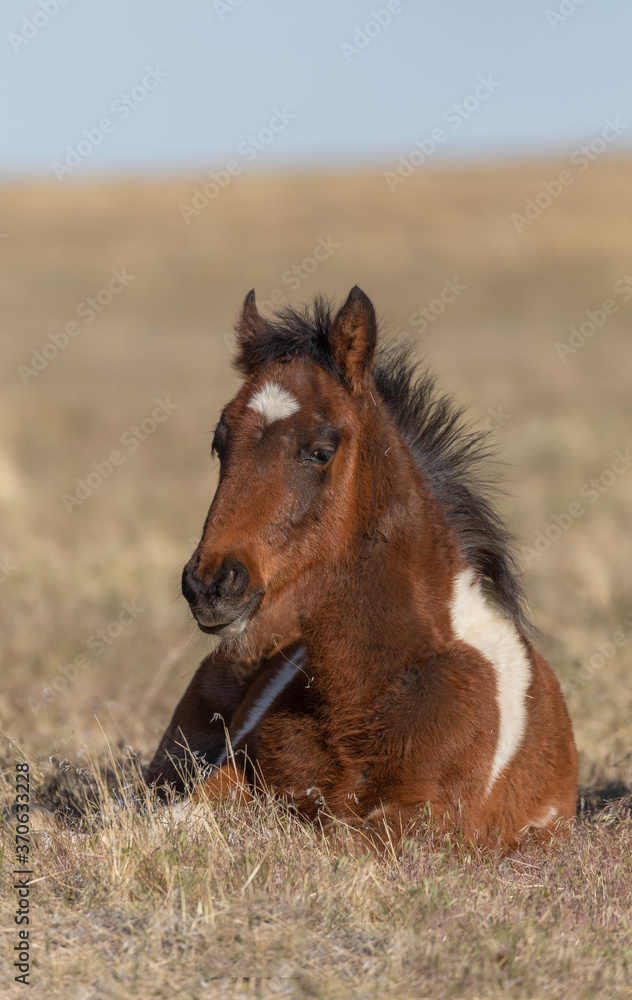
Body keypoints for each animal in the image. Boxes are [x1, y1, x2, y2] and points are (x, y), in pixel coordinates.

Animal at [146, 286, 578, 852]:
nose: (211, 585)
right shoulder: (226, 781)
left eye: (321, 450)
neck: (362, 697)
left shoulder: (429, 822)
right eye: (221, 443)